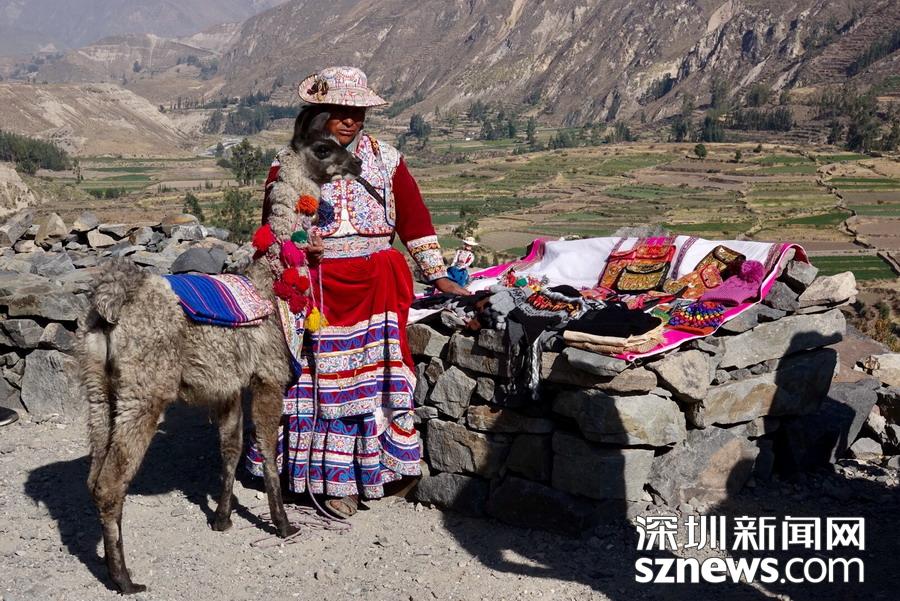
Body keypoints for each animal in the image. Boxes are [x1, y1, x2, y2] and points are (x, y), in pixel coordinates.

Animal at [77, 112, 362, 594]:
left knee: (94, 476)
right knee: (110, 484)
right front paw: (283, 524)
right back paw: (124, 579)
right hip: (143, 392)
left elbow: (230, 449)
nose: (357, 163)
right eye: (324, 148)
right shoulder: (267, 376)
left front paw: (223, 519)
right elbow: (265, 448)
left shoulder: (228, 386)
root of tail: (110, 304)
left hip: (99, 394)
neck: (271, 288)